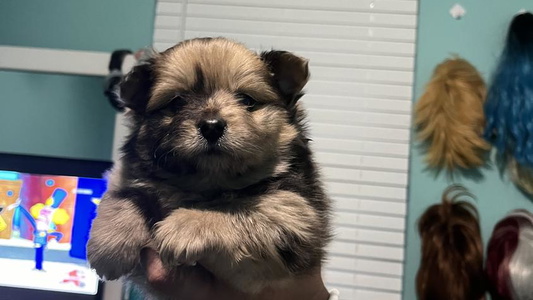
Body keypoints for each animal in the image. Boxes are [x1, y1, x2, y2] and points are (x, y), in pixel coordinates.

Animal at [85, 37, 330, 296]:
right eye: (176, 102)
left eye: (246, 100)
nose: (212, 126)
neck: (208, 181)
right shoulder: (127, 174)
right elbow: (125, 194)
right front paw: (110, 243)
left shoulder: (295, 212)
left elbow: (236, 210)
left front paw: (185, 225)